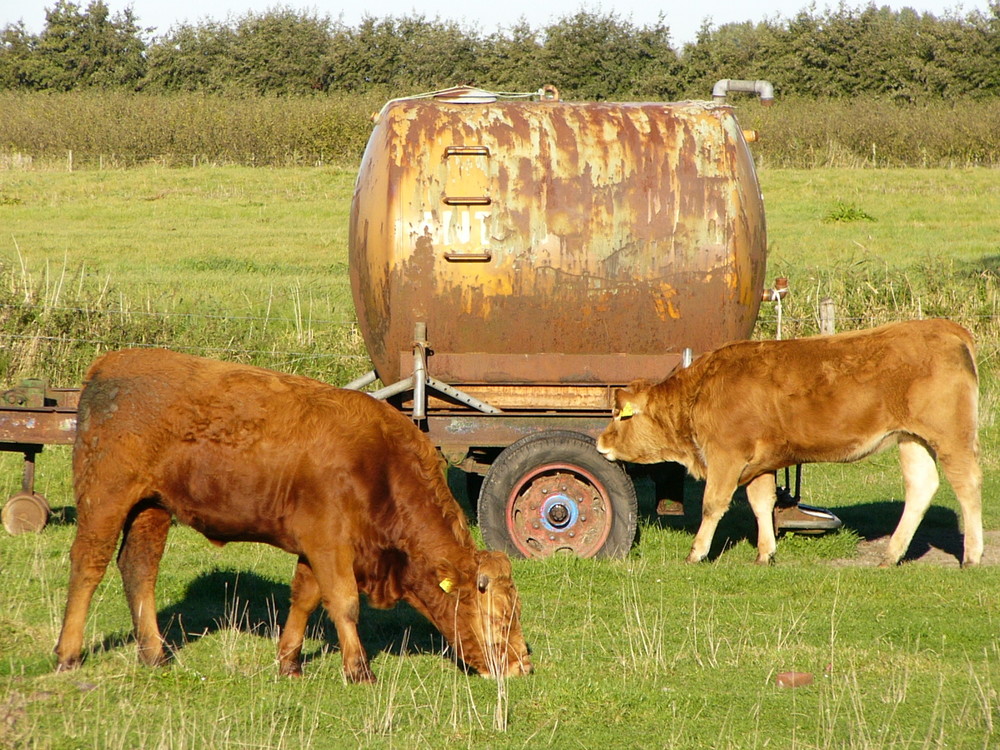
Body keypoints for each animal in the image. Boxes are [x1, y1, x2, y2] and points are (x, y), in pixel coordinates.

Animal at [56, 350, 532, 684]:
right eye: (499, 617)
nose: (521, 666)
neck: (378, 464)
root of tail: (106, 366)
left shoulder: (313, 547)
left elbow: (304, 598)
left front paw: (289, 663)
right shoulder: (329, 544)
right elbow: (344, 601)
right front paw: (359, 670)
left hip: (152, 508)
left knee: (139, 569)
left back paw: (154, 654)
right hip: (107, 498)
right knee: (89, 564)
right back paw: (68, 654)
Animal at [596, 318, 980, 568]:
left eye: (619, 415)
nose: (600, 442)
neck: (703, 389)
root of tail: (946, 327)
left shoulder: (726, 456)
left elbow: (712, 504)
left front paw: (696, 552)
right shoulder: (760, 463)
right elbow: (761, 503)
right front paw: (765, 553)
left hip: (951, 436)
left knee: (967, 485)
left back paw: (972, 555)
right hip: (911, 439)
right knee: (921, 487)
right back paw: (891, 554)